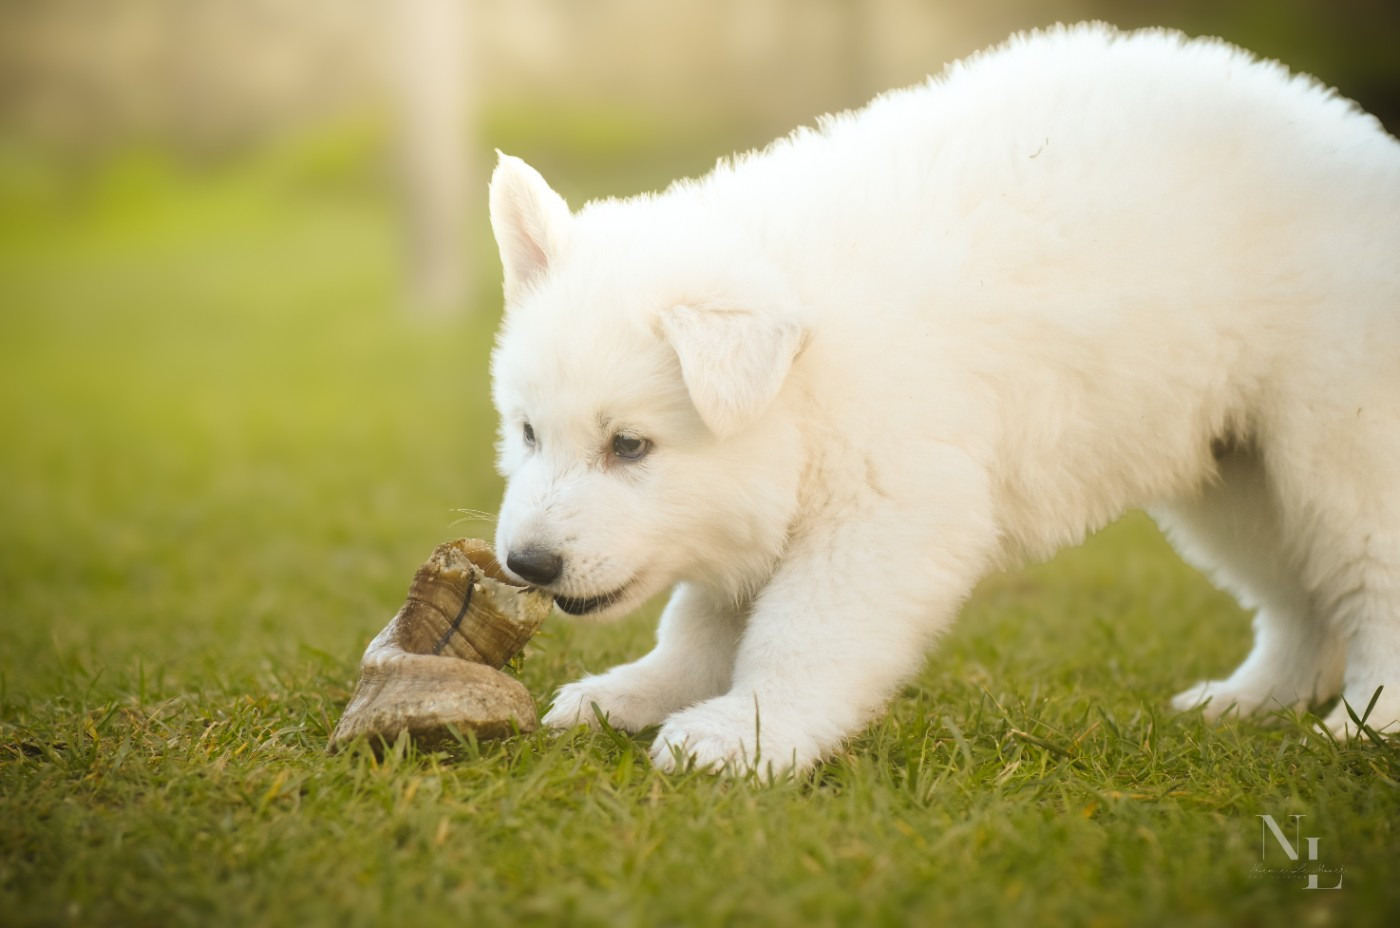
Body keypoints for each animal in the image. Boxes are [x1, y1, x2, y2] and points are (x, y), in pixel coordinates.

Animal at [486, 23, 1400, 775]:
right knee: (1299, 597)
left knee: (1368, 578)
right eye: (528, 432)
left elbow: (802, 630)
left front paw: (748, 730)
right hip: (1233, 469)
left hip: (1340, 439)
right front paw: (638, 692)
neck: (813, 369)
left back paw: (1366, 724)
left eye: (630, 445)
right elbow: (704, 617)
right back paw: (1253, 700)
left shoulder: (889, 509)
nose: (527, 564)